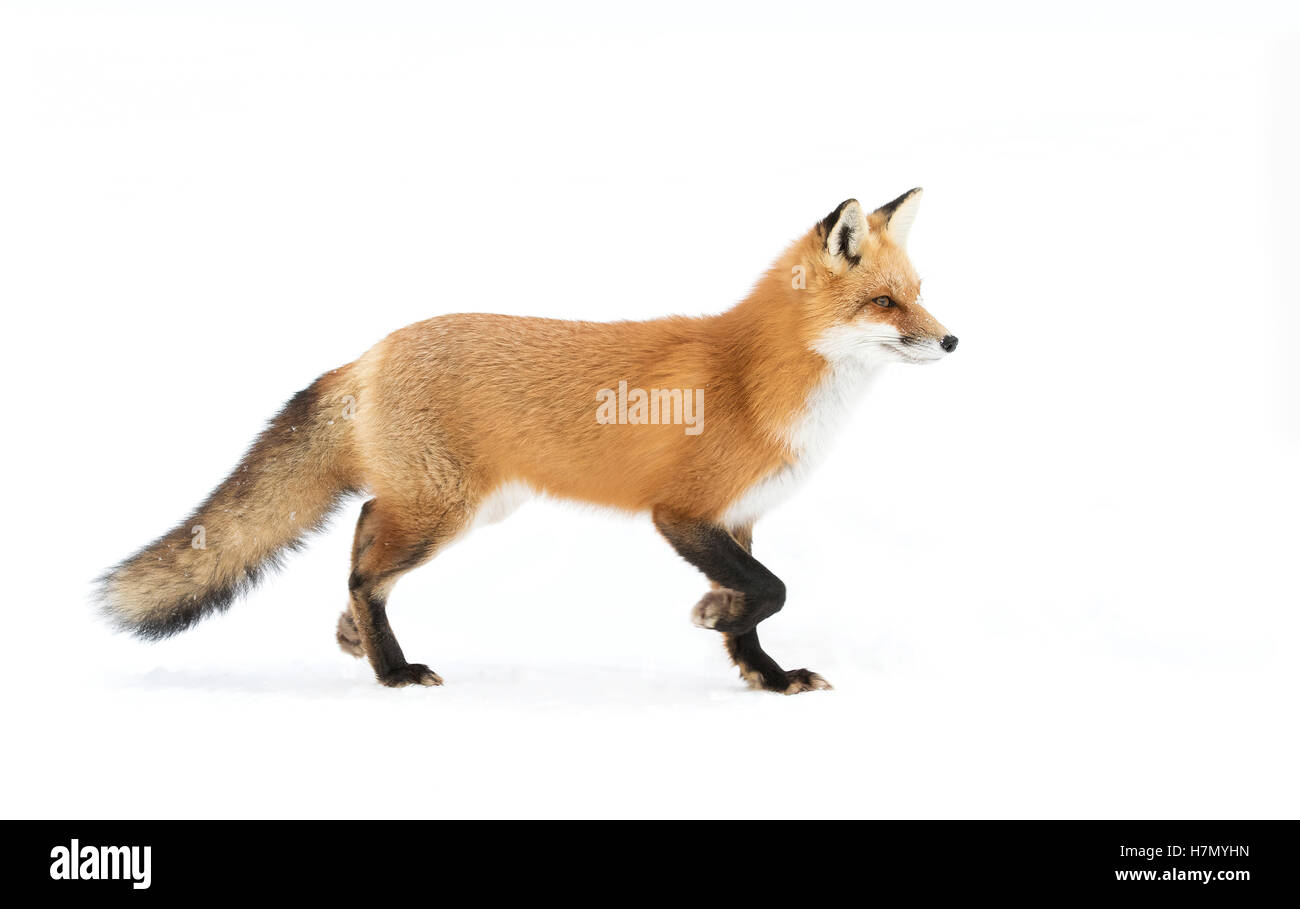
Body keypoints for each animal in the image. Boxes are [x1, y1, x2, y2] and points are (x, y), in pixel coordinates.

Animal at [99, 188, 957, 695]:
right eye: (885, 303)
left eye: (919, 295)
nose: (952, 341)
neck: (755, 376)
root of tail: (372, 350)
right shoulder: (682, 513)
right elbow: (770, 590)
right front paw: (714, 614)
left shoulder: (739, 518)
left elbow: (759, 607)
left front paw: (766, 675)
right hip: (443, 511)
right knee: (365, 566)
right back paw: (391, 668)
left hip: (465, 506)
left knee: (363, 534)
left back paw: (357, 641)